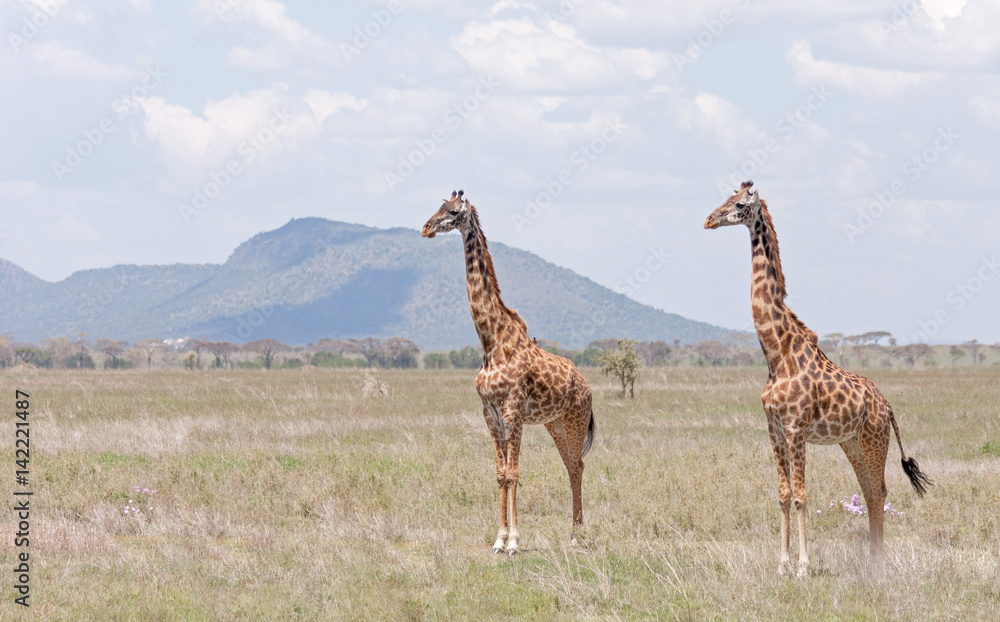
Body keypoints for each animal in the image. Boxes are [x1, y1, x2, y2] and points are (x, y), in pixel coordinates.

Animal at [422, 190, 596, 556]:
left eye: (454, 212)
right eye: (438, 206)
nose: (426, 228)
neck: (491, 341)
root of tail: (586, 385)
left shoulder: (513, 411)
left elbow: (514, 473)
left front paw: (514, 541)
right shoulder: (490, 413)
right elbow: (501, 474)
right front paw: (499, 539)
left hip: (574, 418)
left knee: (577, 465)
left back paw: (577, 534)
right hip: (554, 423)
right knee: (572, 465)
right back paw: (574, 531)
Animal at [704, 181, 931, 577]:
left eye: (740, 204)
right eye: (726, 198)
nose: (709, 220)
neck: (777, 354)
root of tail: (887, 407)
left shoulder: (796, 429)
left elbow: (800, 497)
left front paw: (803, 567)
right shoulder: (775, 429)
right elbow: (782, 496)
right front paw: (781, 566)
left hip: (874, 441)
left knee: (880, 491)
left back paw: (878, 565)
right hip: (852, 443)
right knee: (871, 492)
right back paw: (871, 563)